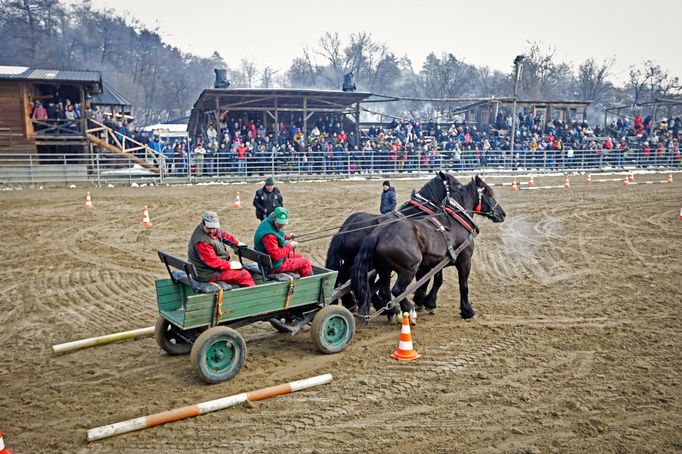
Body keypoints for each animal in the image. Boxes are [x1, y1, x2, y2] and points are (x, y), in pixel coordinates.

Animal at [322, 170, 460, 312]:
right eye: (457, 184)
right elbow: (433, 278)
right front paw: (427, 302)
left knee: (342, 279)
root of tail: (344, 229)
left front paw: (422, 300)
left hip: (351, 261)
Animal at [350, 176, 504, 320]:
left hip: (384, 269)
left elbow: (434, 280)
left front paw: (427, 301)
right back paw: (408, 311)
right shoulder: (464, 261)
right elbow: (463, 285)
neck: (455, 221)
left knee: (383, 290)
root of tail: (378, 233)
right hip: (408, 269)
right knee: (397, 290)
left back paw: (393, 312)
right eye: (489, 194)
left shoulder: (437, 262)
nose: (502, 214)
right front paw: (467, 311)